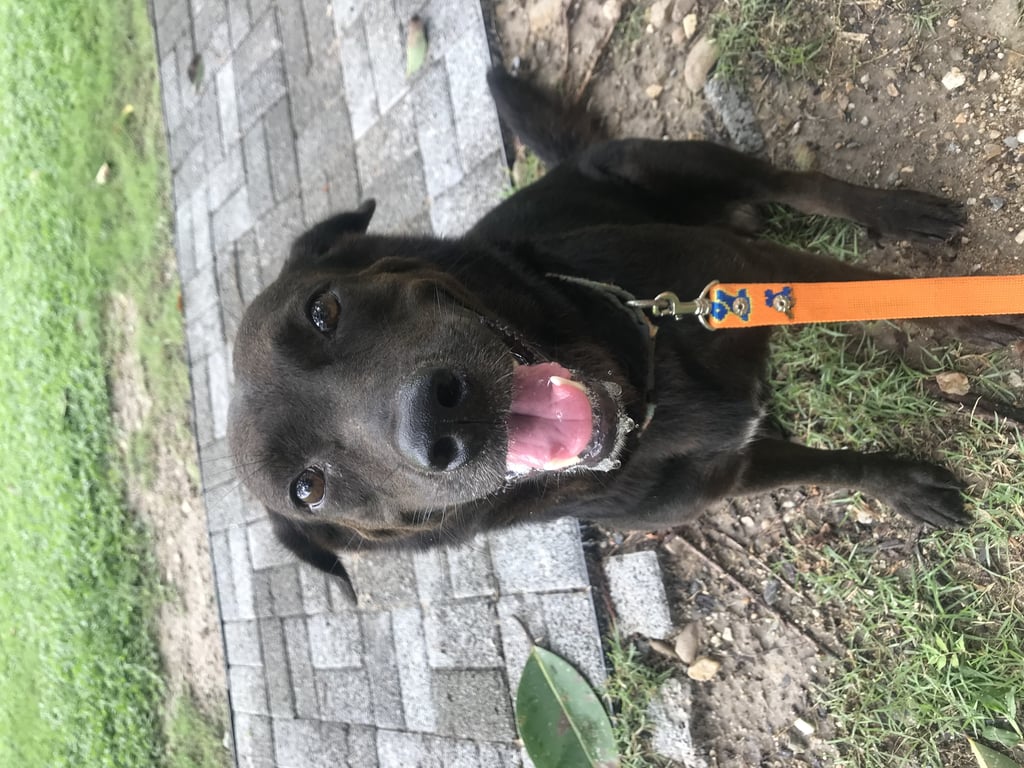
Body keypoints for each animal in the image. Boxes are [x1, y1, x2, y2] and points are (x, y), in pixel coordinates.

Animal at [229, 67, 1017, 596]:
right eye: (308, 489)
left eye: (323, 311)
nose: (438, 419)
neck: (644, 390)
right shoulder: (732, 471)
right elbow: (831, 468)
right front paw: (900, 486)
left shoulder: (750, 272)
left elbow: (886, 297)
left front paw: (973, 313)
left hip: (665, 161)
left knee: (793, 184)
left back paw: (894, 213)